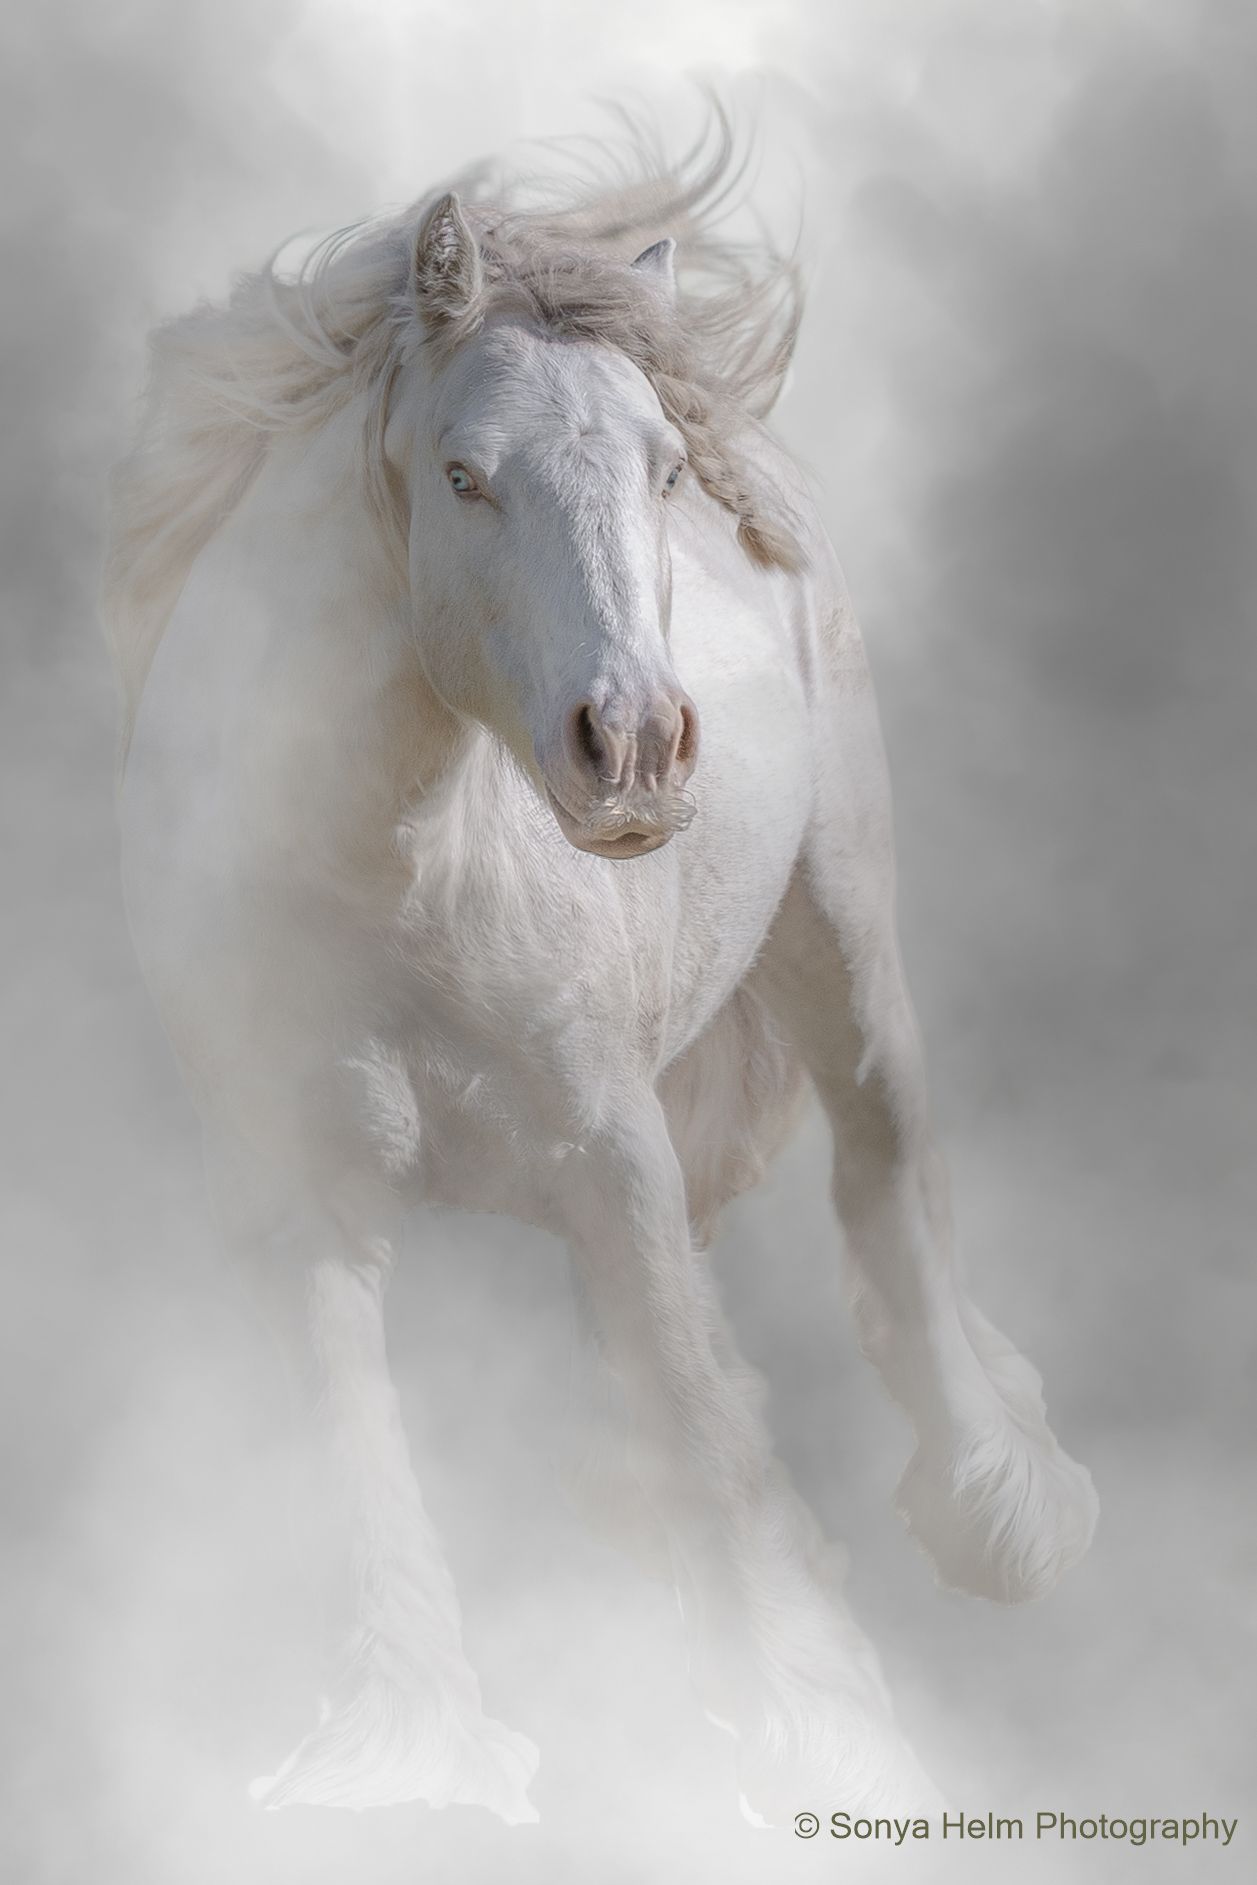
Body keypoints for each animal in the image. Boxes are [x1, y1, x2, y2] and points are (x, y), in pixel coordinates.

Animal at [103, 102, 1097, 1826]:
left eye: (661, 467)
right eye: (462, 474)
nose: (633, 746)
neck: (388, 888)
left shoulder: (611, 1144)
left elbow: (703, 1417)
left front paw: (809, 1736)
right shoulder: (299, 1198)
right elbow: (364, 1460)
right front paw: (406, 1759)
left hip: (843, 935)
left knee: (887, 1172)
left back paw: (998, 1509)